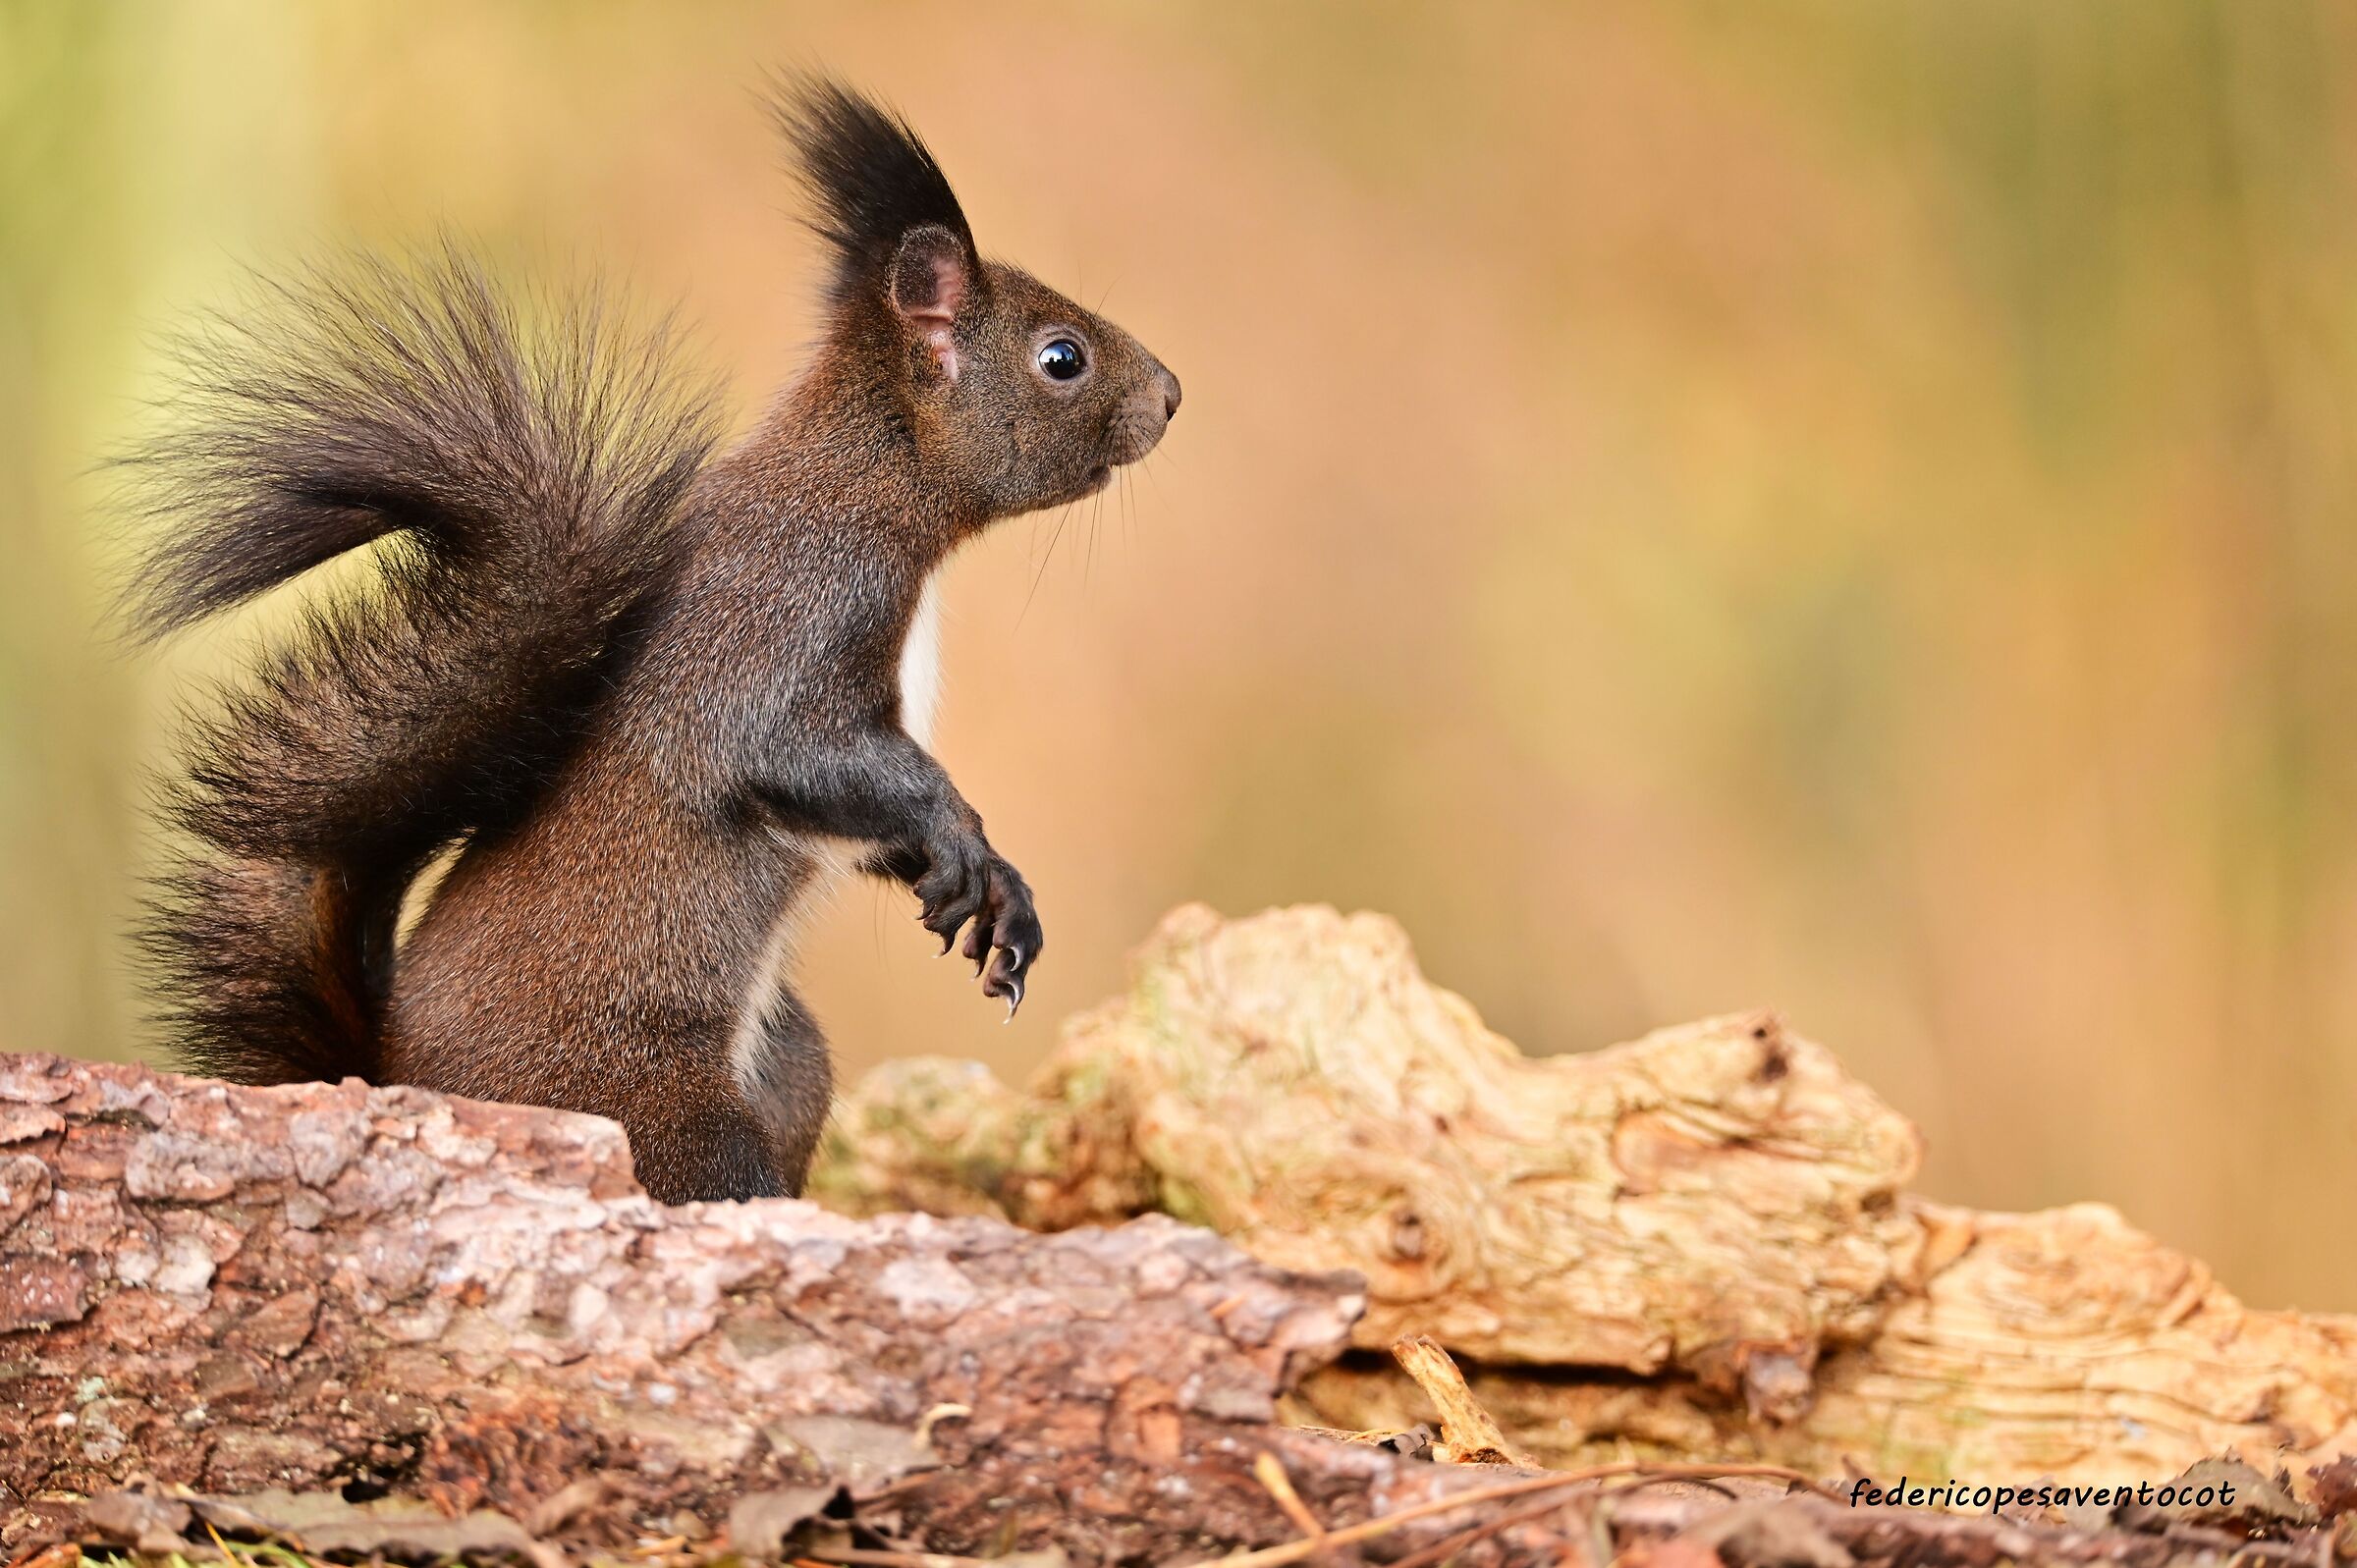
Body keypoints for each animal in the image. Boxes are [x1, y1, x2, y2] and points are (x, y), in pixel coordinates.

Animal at [122, 78, 1179, 1204]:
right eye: (1061, 358)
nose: (1171, 395)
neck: (875, 474)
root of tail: (394, 1075)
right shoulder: (787, 609)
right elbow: (791, 750)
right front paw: (967, 845)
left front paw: (994, 889)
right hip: (663, 1116)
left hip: (788, 1064)